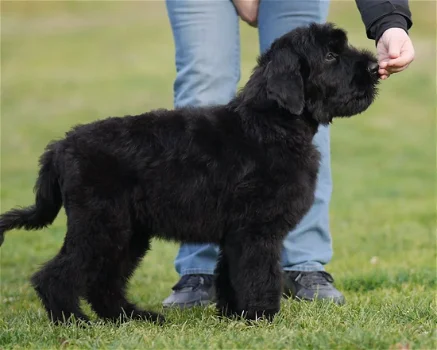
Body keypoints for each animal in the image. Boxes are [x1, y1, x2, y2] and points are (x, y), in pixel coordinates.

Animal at [0, 23, 378, 326]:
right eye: (330, 55)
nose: (375, 66)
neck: (269, 125)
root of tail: (60, 147)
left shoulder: (235, 234)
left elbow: (230, 275)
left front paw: (234, 315)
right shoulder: (257, 232)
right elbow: (260, 275)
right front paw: (262, 316)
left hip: (127, 233)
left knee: (103, 282)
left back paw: (133, 317)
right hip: (100, 226)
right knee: (55, 276)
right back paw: (74, 321)